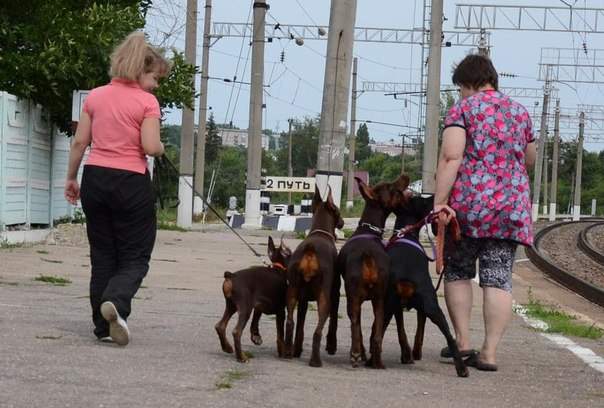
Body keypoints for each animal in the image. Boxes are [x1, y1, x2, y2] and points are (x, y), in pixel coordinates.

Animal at [215, 236, 292, 364]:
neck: (279, 269)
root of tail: (231, 276)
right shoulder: (281, 311)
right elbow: (280, 335)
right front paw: (283, 352)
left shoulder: (258, 305)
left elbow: (256, 320)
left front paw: (256, 337)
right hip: (245, 307)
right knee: (236, 332)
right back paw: (241, 357)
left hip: (231, 305)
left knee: (220, 326)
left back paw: (228, 348)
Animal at [284, 186, 342, 368]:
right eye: (337, 209)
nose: (342, 221)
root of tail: (310, 250)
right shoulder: (335, 294)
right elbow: (334, 322)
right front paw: (332, 346)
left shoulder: (302, 299)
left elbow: (301, 326)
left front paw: (297, 349)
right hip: (324, 297)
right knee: (318, 330)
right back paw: (315, 360)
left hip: (292, 291)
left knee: (290, 322)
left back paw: (288, 352)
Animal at [336, 175, 410, 370]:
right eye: (391, 187)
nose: (405, 176)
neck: (369, 229)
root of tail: (368, 257)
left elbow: (358, 326)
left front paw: (360, 353)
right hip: (379, 298)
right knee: (376, 333)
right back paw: (377, 362)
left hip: (354, 297)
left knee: (355, 323)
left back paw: (356, 354)